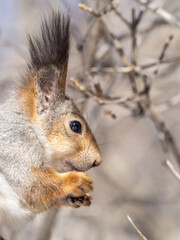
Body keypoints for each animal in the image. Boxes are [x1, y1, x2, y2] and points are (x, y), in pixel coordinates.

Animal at [0, 7, 101, 225]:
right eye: (75, 126)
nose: (98, 161)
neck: (29, 127)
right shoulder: (12, 150)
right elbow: (30, 183)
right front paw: (75, 180)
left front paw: (78, 197)